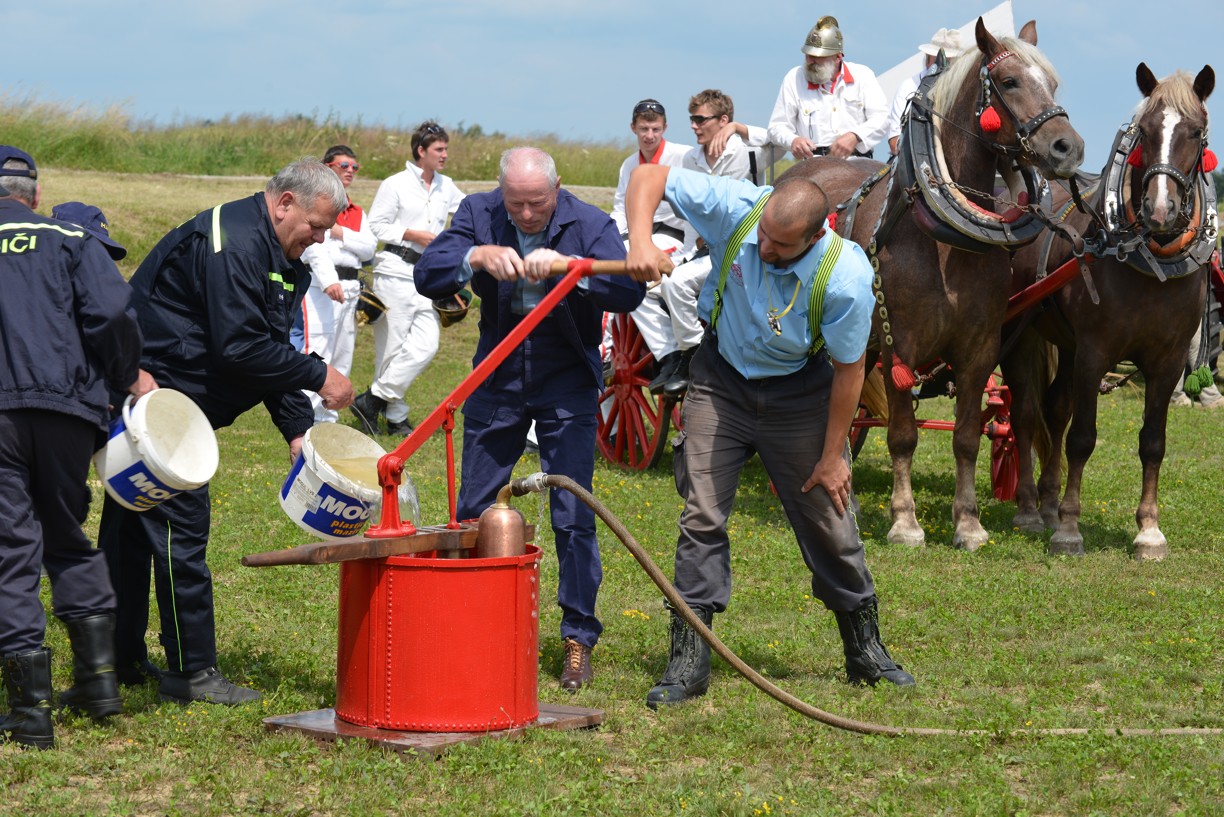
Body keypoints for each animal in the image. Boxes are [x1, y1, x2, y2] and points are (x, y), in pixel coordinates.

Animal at [783, 18, 1083, 550]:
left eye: (1052, 83)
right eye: (1009, 82)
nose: (1067, 148)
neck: (945, 237)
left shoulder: (979, 347)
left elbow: (965, 437)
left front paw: (968, 523)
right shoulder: (900, 342)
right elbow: (903, 434)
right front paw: (905, 522)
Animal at [1002, 63, 1216, 560]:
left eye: (1196, 133)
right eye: (1145, 132)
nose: (1160, 210)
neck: (1150, 258)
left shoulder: (1168, 361)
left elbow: (1153, 442)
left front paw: (1149, 531)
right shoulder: (1095, 352)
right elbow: (1082, 438)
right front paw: (1069, 528)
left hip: (1064, 344)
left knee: (1054, 410)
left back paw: (1047, 503)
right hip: (1023, 336)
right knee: (1025, 414)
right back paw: (1029, 509)